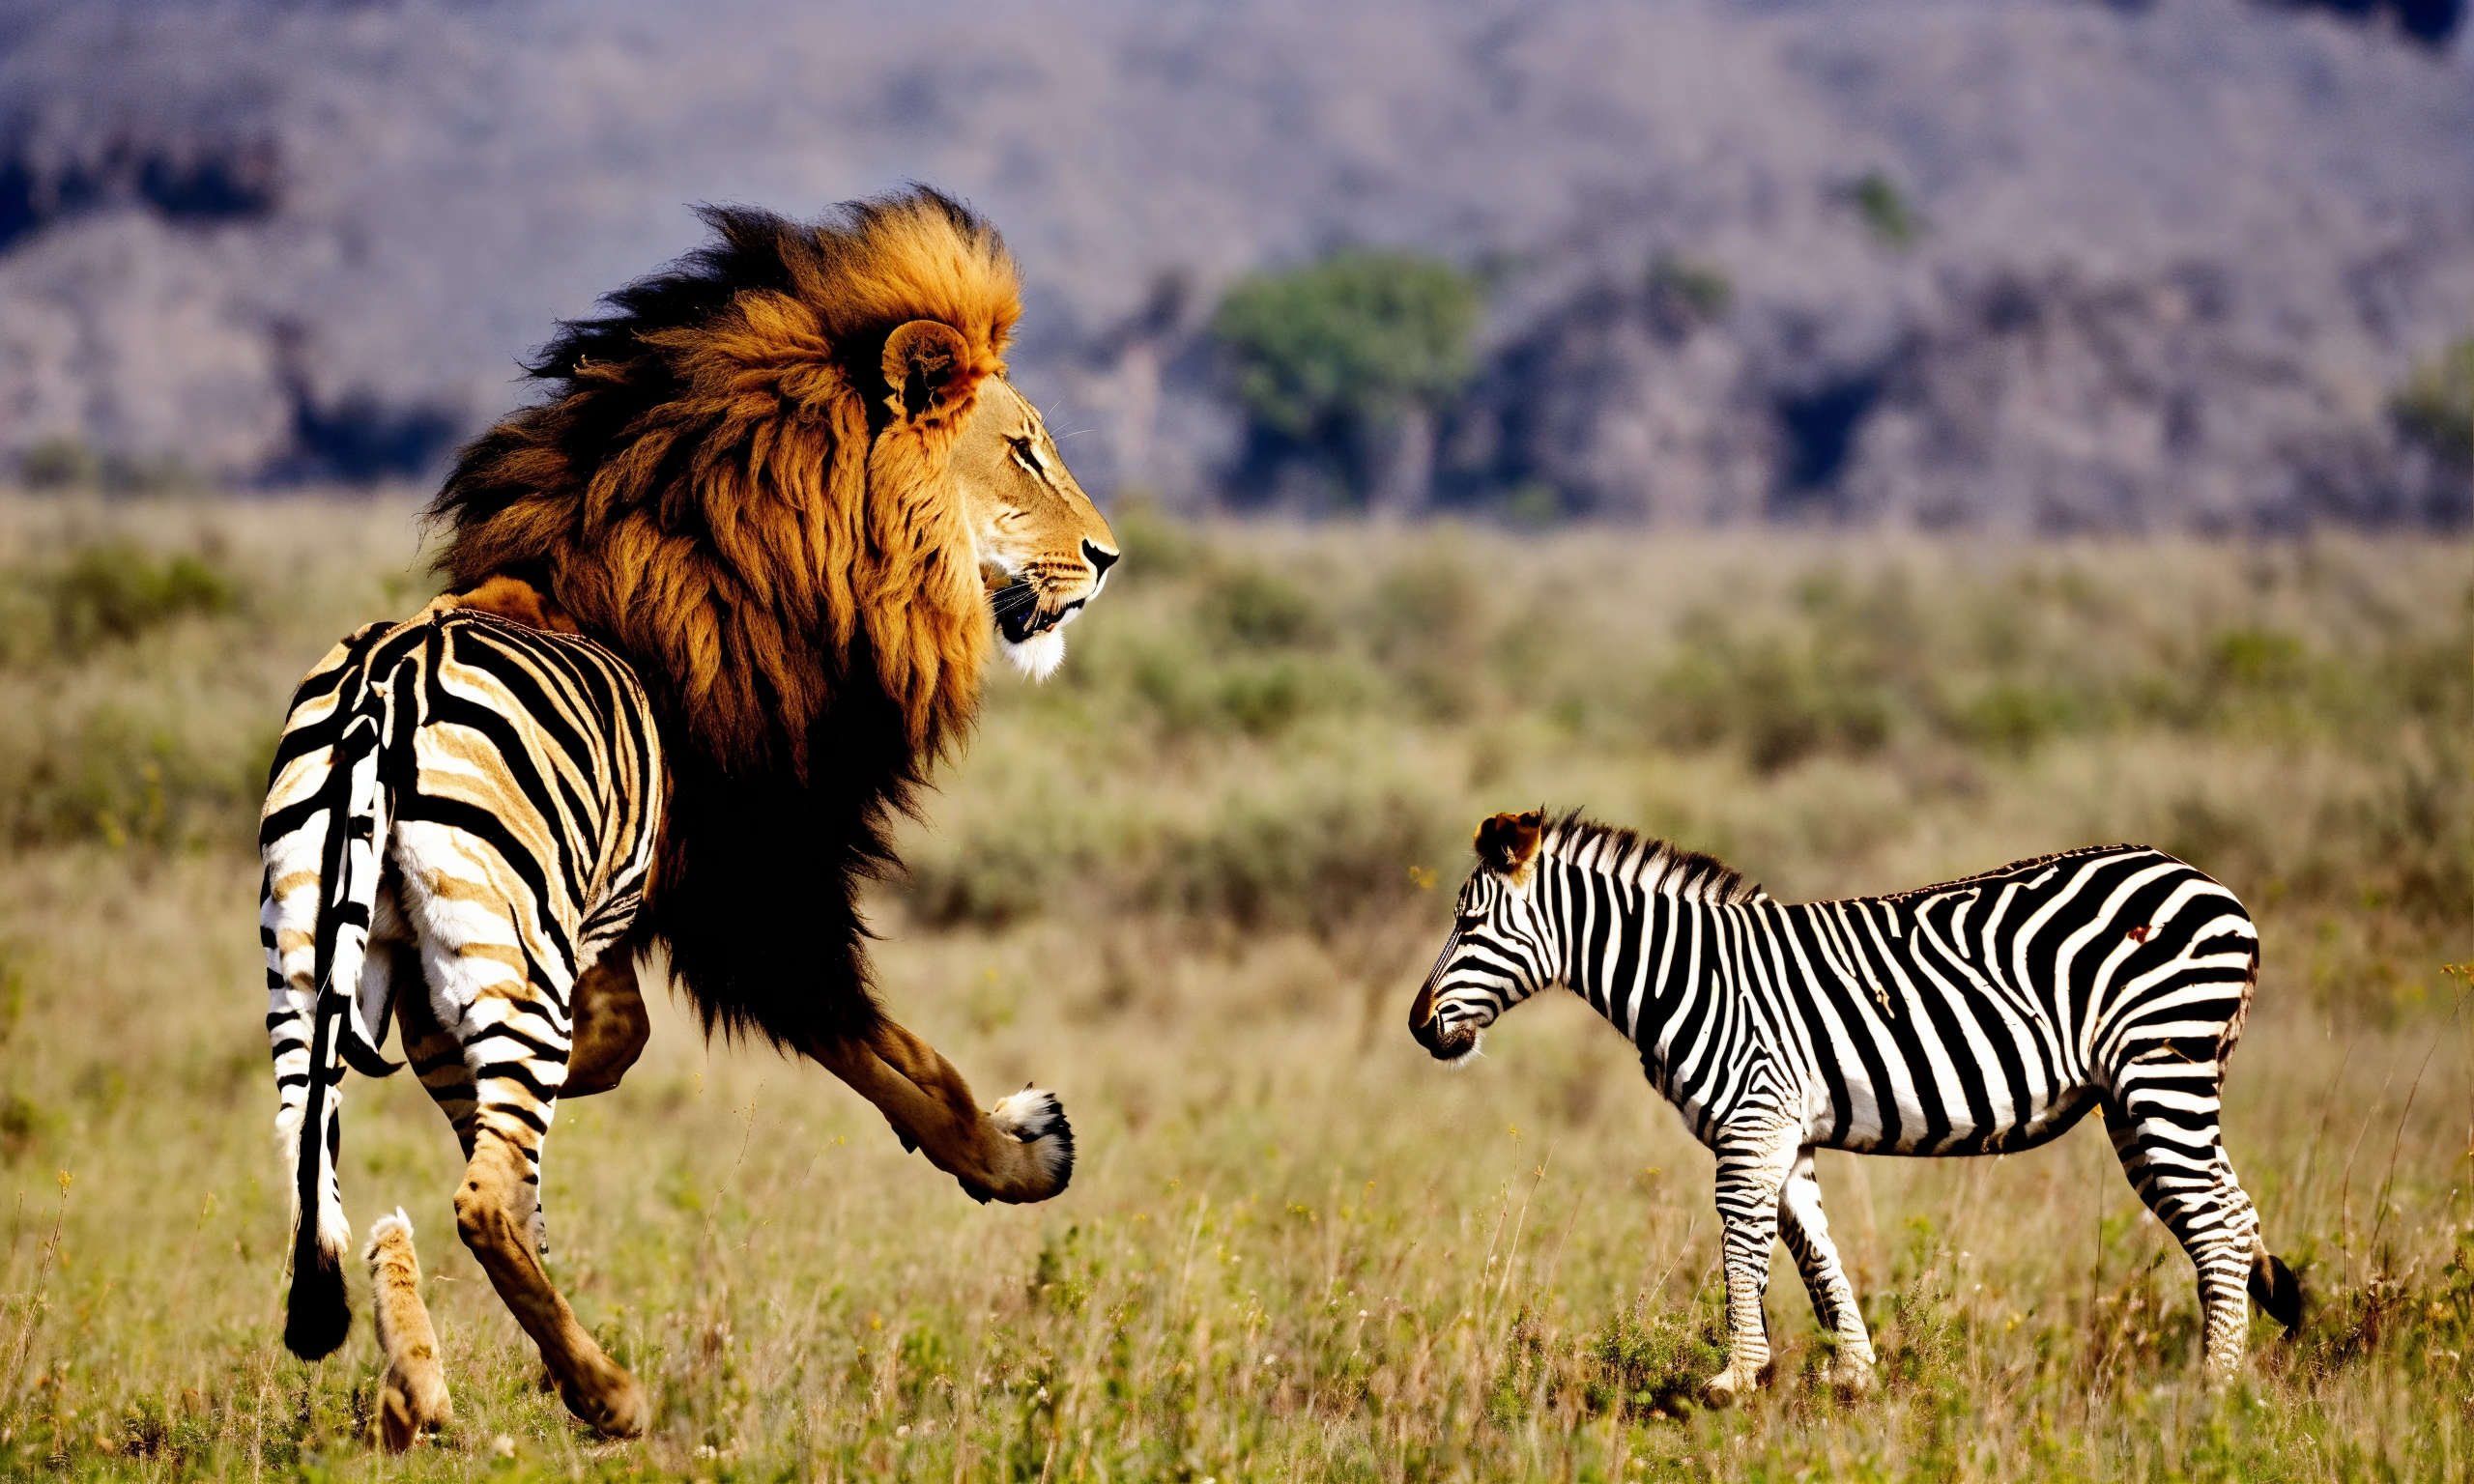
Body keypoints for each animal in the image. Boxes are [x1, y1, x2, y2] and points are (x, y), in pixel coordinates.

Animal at [263, 596, 661, 1436]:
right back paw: (605, 1394)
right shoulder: (595, 921)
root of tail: (382, 690)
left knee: (307, 1146)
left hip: (297, 954)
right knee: (483, 1202)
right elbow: (618, 1042)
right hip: (515, 962)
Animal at [1407, 808, 2301, 1403]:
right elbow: (1814, 1249)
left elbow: (1744, 1247)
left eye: (1469, 923)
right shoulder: (1783, 1131)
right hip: (2138, 1097)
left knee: (2216, 1229)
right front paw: (1853, 1378)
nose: (1419, 1027)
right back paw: (2246, 1351)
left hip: (2160, 1071)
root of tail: (2212, 886)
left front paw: (1736, 1377)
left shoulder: (1751, 1120)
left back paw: (2212, 1392)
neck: (1682, 974)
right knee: (2236, 1214)